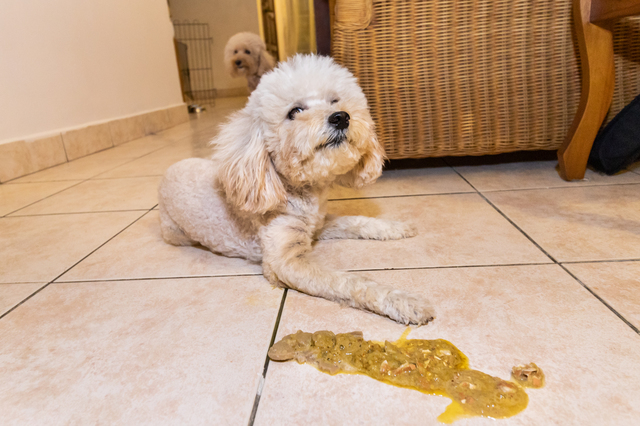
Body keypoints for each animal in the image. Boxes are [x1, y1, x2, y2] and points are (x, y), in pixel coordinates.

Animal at [159, 55, 436, 324]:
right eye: (295, 111)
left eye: (334, 100)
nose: (341, 117)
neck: (297, 191)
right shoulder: (285, 262)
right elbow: (347, 281)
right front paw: (402, 301)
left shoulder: (319, 224)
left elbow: (356, 221)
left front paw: (395, 227)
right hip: (176, 234)